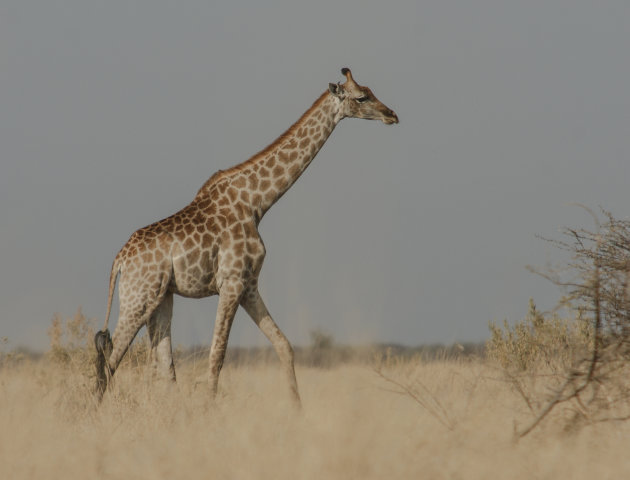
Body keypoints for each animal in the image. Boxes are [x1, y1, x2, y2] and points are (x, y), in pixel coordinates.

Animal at [92, 67, 400, 404]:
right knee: (111, 360)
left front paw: (297, 409)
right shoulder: (232, 281)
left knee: (162, 367)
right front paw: (210, 410)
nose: (392, 115)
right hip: (139, 297)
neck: (257, 202)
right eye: (362, 97)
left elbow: (284, 346)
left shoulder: (250, 283)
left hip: (161, 297)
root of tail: (119, 261)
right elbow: (216, 357)